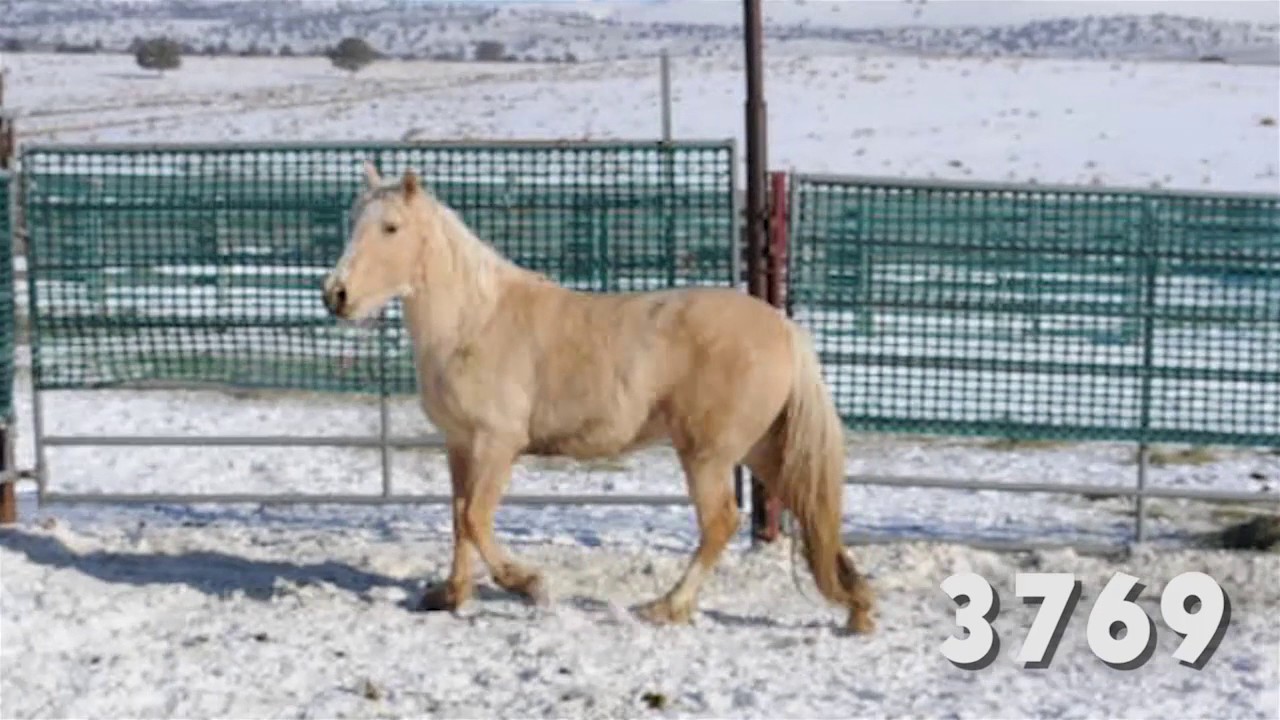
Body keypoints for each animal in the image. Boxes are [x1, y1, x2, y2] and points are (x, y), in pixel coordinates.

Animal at [321, 162, 876, 633]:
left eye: (391, 227)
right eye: (352, 220)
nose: (335, 295)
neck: (474, 321)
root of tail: (786, 329)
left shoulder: (496, 444)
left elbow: (475, 519)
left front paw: (529, 585)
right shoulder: (459, 445)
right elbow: (458, 517)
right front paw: (451, 595)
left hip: (709, 454)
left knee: (721, 521)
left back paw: (667, 607)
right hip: (762, 450)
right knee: (812, 512)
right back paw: (857, 606)